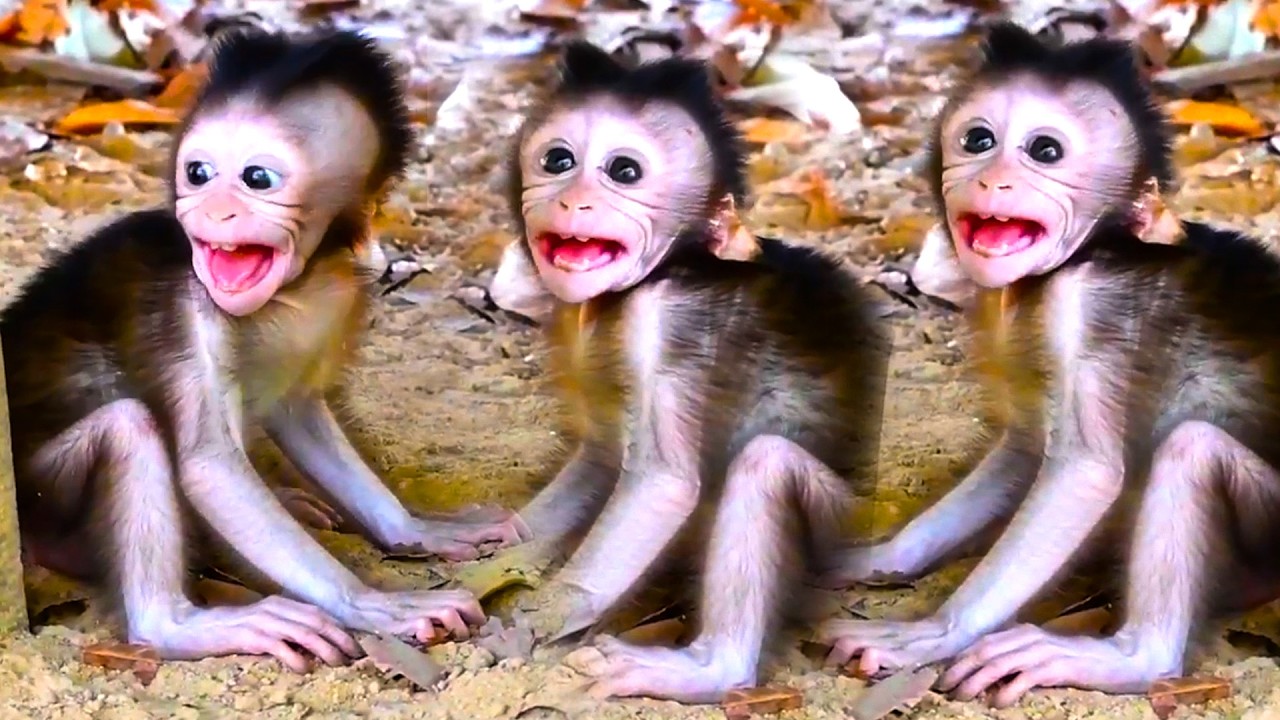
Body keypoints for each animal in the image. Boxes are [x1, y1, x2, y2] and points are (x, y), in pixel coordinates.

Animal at [0, 28, 532, 672]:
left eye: (257, 179)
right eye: (199, 172)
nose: (213, 209)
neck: (287, 291)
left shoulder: (334, 293)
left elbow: (296, 407)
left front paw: (415, 530)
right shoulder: (186, 305)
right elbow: (210, 466)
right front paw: (370, 603)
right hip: (37, 499)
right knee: (129, 426)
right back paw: (177, 625)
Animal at [498, 40, 889, 704]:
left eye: (623, 171)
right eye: (558, 160)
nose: (572, 199)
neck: (662, 269)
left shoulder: (665, 320)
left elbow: (663, 484)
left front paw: (543, 614)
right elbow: (600, 455)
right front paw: (497, 537)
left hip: (847, 528)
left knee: (766, 465)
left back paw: (711, 667)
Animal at [816, 21, 1280, 706]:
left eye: (1044, 151)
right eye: (978, 140)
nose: (994, 181)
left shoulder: (1077, 304)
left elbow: (1084, 470)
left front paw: (934, 632)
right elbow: (1024, 446)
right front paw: (880, 557)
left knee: (1192, 447)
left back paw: (1130, 656)